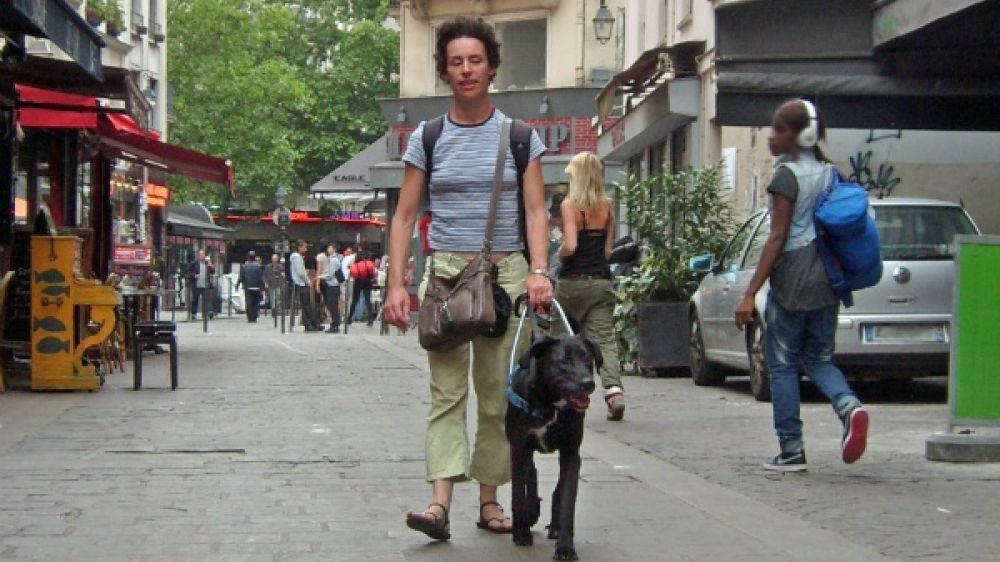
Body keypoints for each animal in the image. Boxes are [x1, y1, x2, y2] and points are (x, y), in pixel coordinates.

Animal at [508, 322, 600, 556]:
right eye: (563, 361)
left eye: (588, 358)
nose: (588, 383)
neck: (552, 406)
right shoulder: (518, 448)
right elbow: (518, 493)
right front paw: (521, 533)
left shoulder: (571, 452)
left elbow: (567, 497)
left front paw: (565, 546)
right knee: (531, 472)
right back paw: (531, 513)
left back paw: (554, 526)